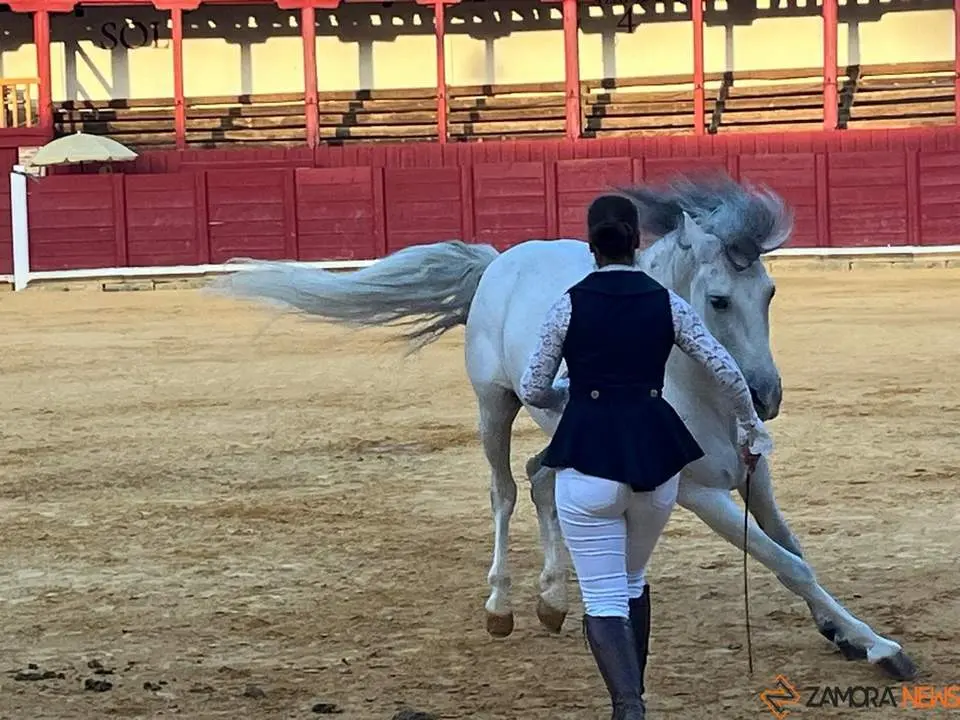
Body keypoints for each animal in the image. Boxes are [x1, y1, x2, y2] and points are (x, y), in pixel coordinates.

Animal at [211, 173, 918, 681]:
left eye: (770, 293)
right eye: (718, 299)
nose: (766, 398)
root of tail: (500, 260)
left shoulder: (754, 474)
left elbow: (796, 551)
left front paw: (854, 636)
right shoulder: (697, 492)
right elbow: (783, 561)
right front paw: (881, 649)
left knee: (540, 480)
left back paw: (552, 600)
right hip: (493, 406)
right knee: (505, 489)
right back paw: (502, 606)